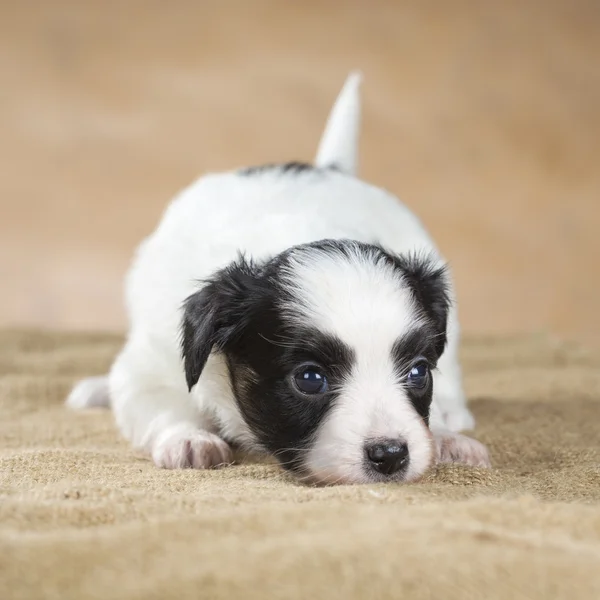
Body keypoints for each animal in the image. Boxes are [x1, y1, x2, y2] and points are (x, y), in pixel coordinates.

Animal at [70, 72, 490, 486]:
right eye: (310, 378)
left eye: (417, 372)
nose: (390, 454)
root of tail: (329, 168)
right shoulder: (153, 366)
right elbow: (162, 406)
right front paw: (189, 439)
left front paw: (444, 436)